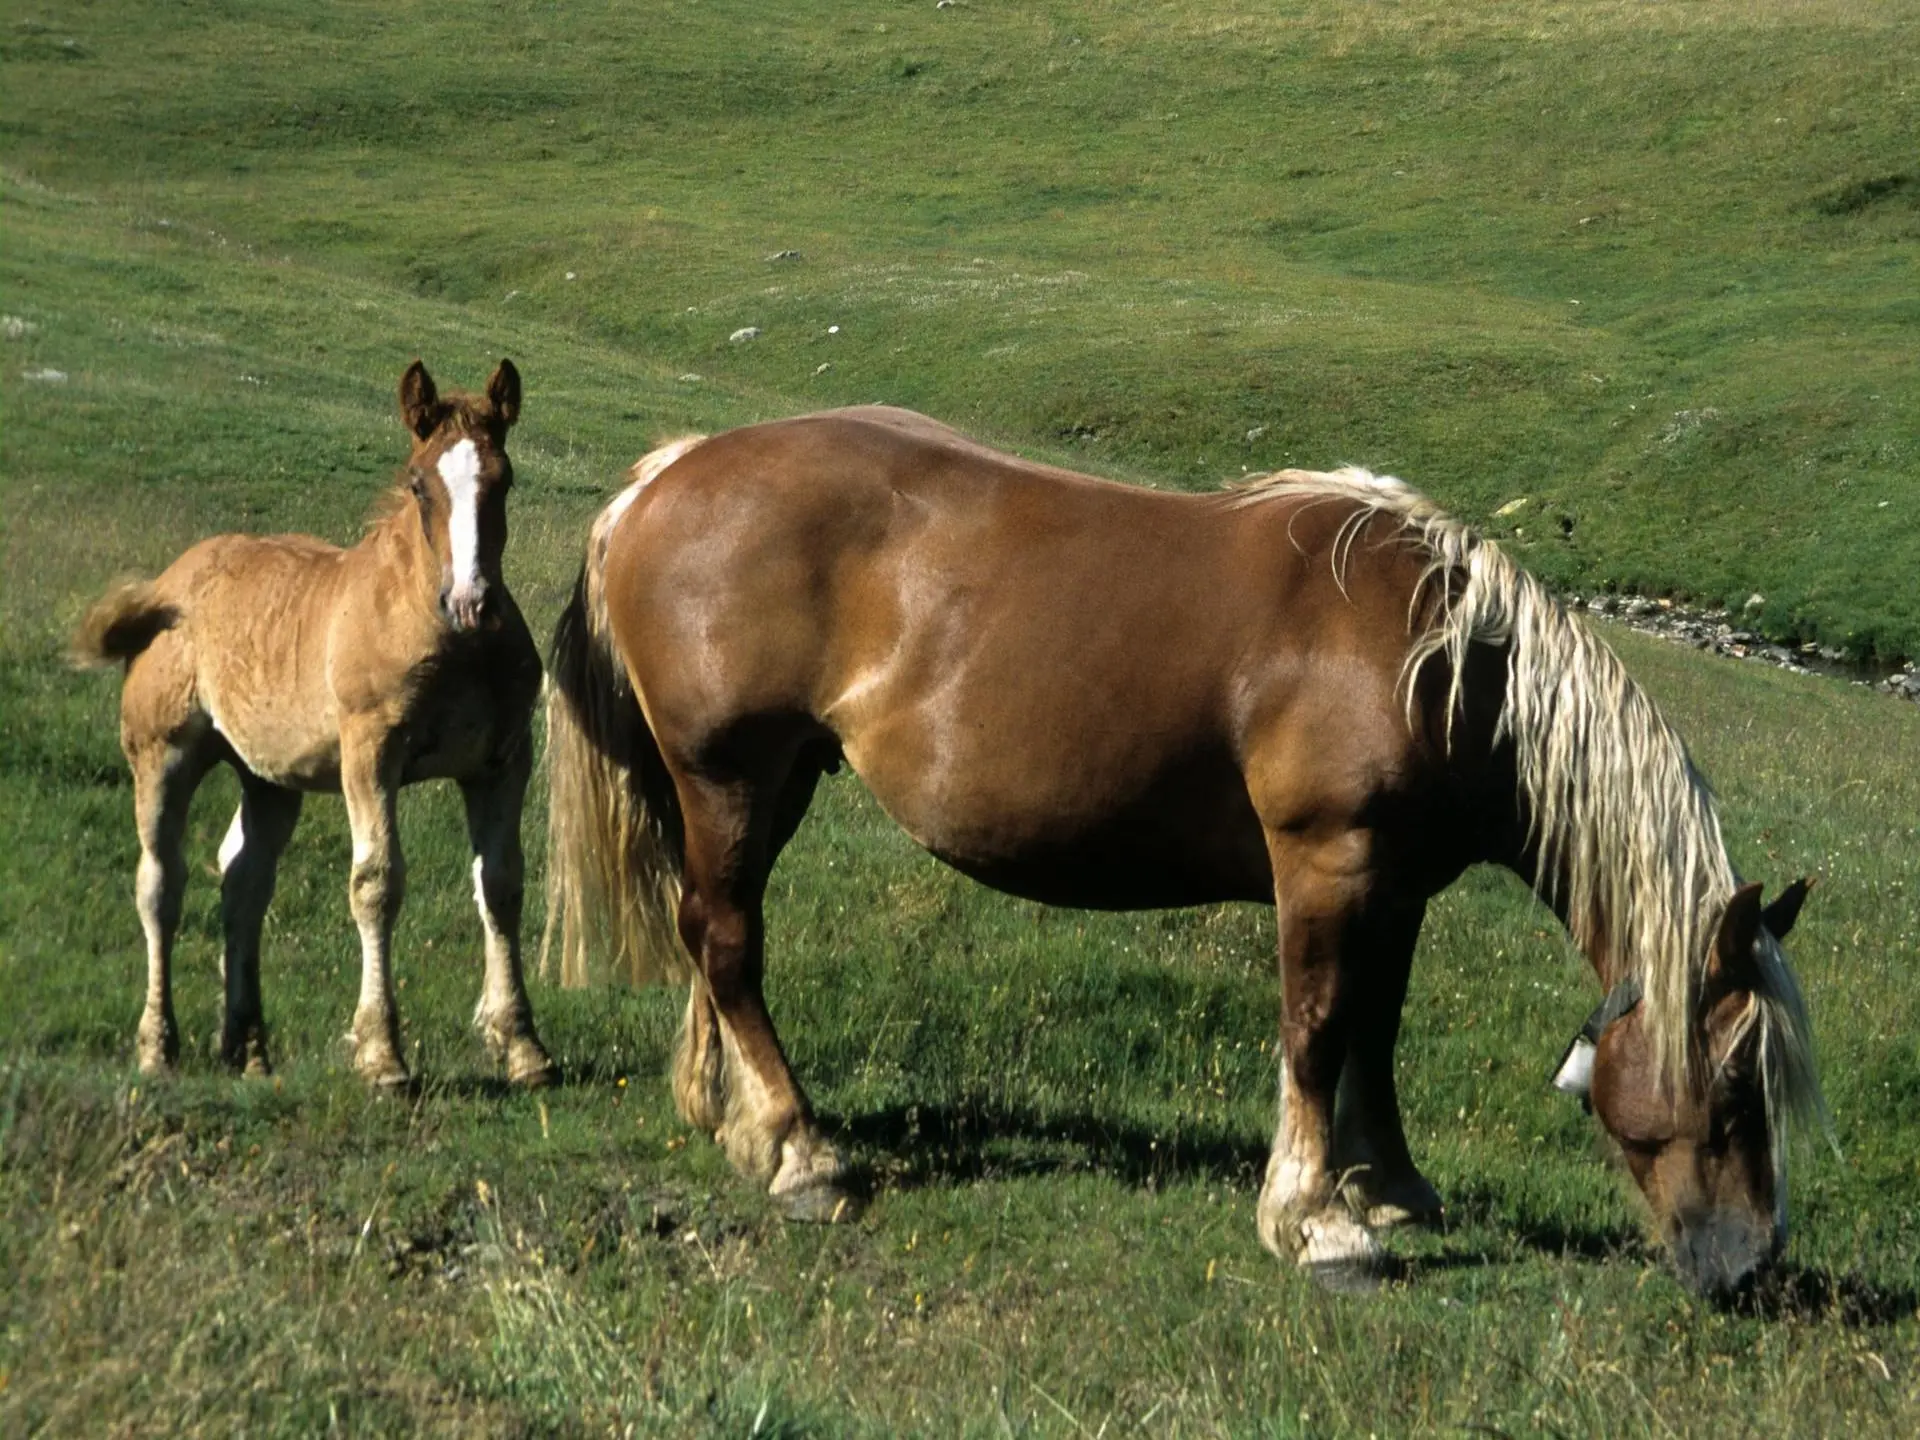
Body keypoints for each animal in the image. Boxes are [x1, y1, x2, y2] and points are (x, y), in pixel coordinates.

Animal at [74, 360, 556, 1090]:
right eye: (418, 484)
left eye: (504, 480)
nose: (471, 600)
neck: (453, 642)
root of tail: (169, 584)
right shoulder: (371, 753)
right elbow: (376, 883)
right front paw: (382, 1054)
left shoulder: (502, 760)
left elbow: (500, 884)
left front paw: (523, 1045)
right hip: (162, 753)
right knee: (160, 884)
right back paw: (158, 1047)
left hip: (269, 778)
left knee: (244, 881)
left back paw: (248, 1048)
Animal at [545, 408, 1827, 1297]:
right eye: (1731, 1084)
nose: (1749, 1263)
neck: (1439, 659)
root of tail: (665, 476)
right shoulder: (1328, 863)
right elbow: (1318, 1030)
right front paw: (1316, 1221)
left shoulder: (1399, 886)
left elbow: (1376, 1034)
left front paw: (1391, 1189)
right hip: (731, 777)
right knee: (728, 940)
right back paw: (801, 1151)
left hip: (762, 786)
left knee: (712, 928)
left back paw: (728, 1117)